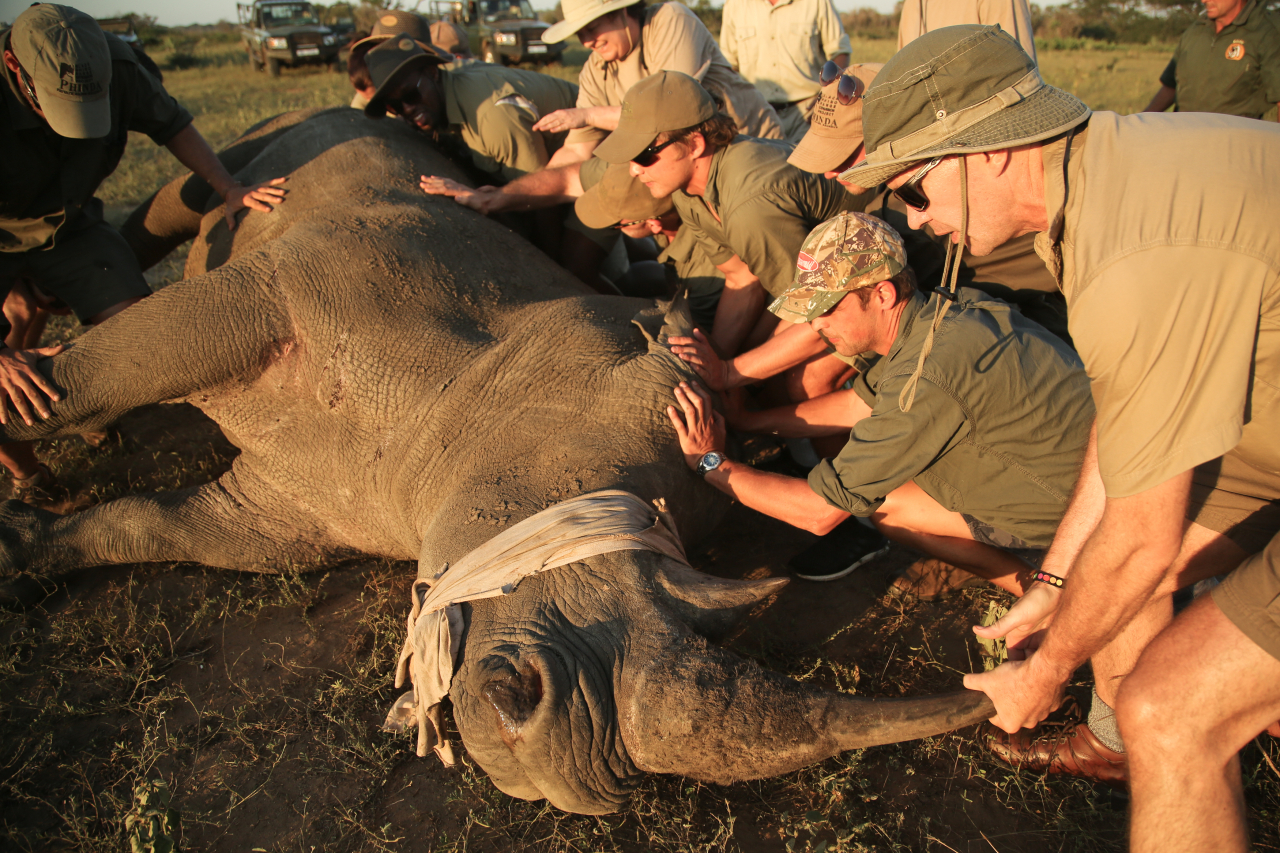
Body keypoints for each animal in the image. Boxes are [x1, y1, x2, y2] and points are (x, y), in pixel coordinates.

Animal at [0, 108, 993, 815]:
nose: (575, 758)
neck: (452, 405)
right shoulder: (292, 283)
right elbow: (103, 371)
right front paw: (22, 406)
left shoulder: (301, 508)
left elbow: (159, 527)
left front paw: (24, 549)